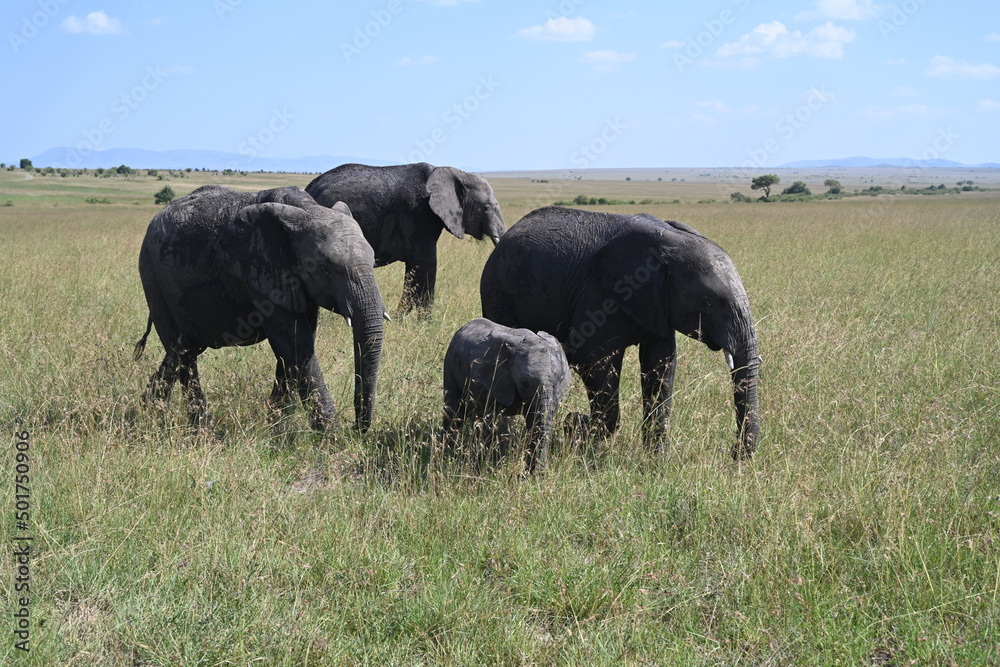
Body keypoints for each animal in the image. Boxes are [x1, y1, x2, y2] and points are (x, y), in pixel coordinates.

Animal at [134, 184, 386, 432]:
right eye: (324, 269)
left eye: (374, 261)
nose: (357, 429)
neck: (306, 209)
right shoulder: (260, 271)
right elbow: (296, 342)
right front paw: (331, 437)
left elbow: (296, 346)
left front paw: (277, 430)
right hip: (153, 275)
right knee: (183, 352)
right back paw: (200, 429)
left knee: (181, 348)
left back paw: (148, 411)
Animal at [305, 163, 506, 314]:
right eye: (486, 207)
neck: (454, 172)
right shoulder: (417, 212)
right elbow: (427, 264)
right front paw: (421, 322)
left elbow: (416, 267)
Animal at [443, 318, 571, 473]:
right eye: (524, 383)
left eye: (559, 381)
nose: (528, 474)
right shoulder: (486, 379)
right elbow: (486, 423)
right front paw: (478, 470)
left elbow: (534, 422)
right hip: (449, 364)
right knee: (454, 414)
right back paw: (444, 452)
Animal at [480, 206, 760, 460]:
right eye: (707, 302)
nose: (735, 453)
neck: (669, 242)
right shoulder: (599, 295)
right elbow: (592, 359)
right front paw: (578, 430)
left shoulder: (659, 305)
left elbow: (661, 367)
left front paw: (656, 462)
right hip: (497, 291)